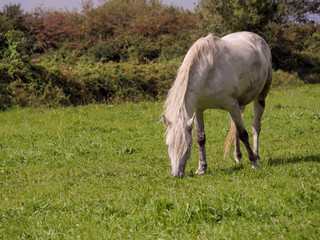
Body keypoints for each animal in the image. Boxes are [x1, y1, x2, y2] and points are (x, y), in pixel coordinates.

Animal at [164, 31, 272, 176]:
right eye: (168, 145)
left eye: (187, 146)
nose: (176, 174)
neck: (208, 69)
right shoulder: (198, 109)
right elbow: (201, 137)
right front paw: (202, 168)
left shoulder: (231, 104)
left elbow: (243, 133)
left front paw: (254, 161)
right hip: (237, 105)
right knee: (235, 127)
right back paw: (238, 156)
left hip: (259, 96)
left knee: (255, 126)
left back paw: (256, 155)